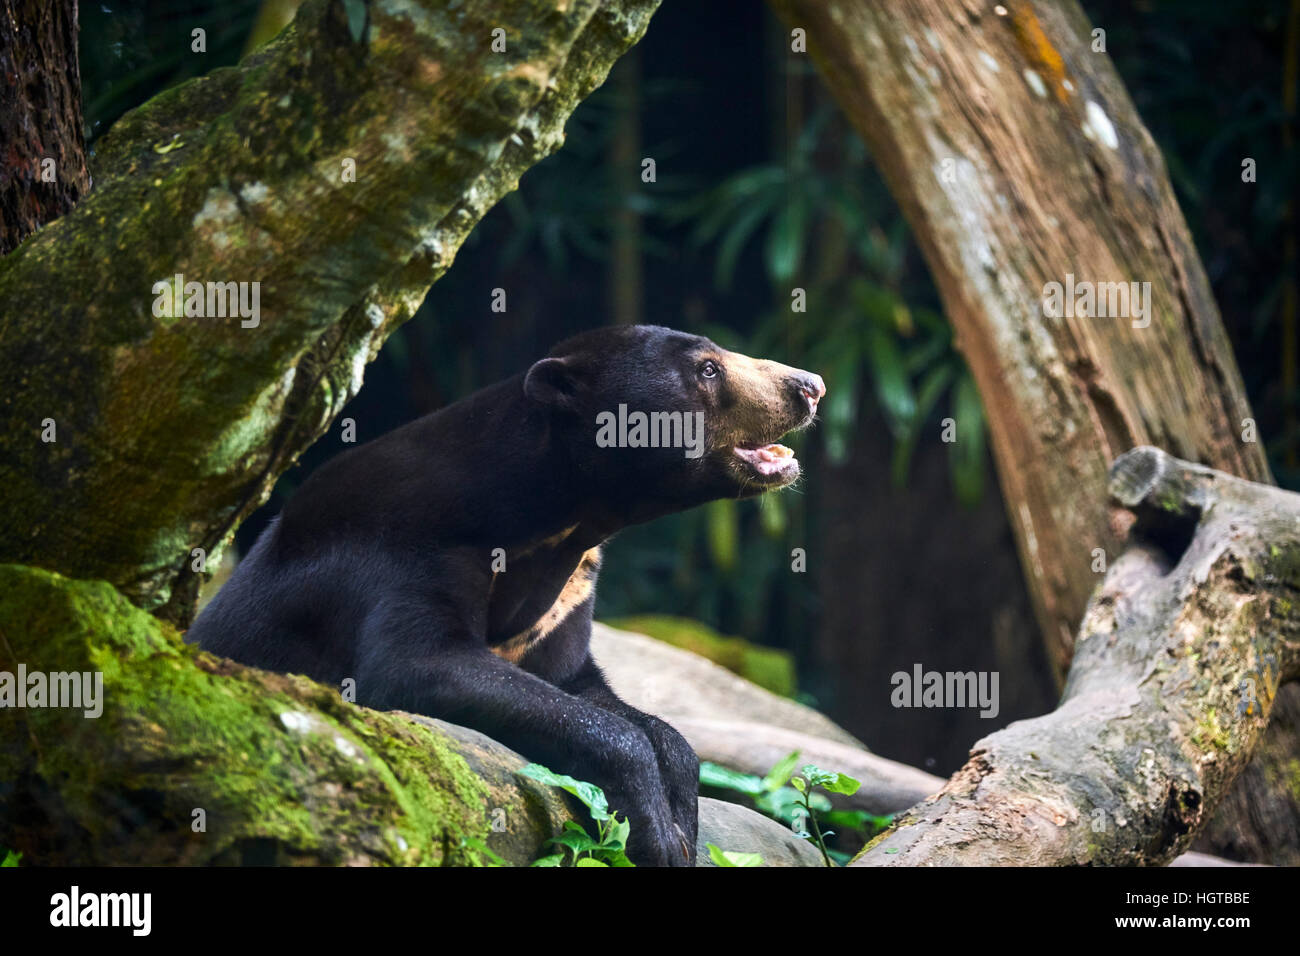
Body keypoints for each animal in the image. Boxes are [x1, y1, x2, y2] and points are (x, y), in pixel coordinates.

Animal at [188, 324, 825, 866]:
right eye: (708, 370)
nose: (811, 386)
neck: (556, 520)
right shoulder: (403, 546)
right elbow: (413, 663)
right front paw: (658, 838)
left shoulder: (574, 588)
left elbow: (586, 687)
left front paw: (682, 817)